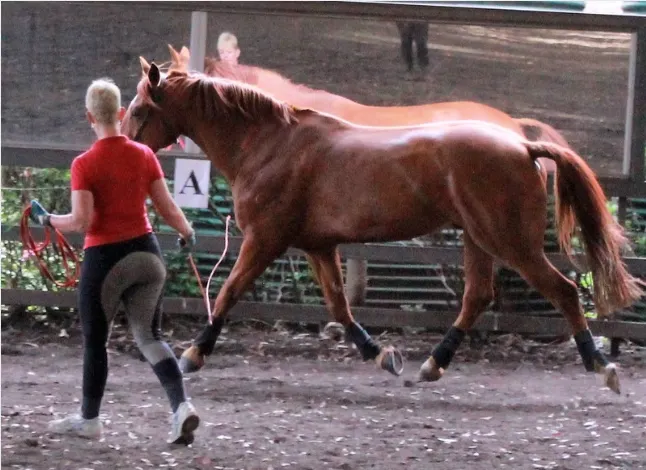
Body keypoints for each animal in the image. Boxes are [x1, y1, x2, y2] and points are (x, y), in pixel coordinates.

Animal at [124, 51, 644, 394]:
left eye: (139, 109)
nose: (122, 146)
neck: (271, 144)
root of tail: (522, 144)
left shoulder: (264, 239)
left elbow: (228, 292)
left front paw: (193, 354)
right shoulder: (318, 246)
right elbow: (339, 308)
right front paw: (382, 356)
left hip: (511, 241)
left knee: (564, 291)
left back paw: (601, 365)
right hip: (479, 239)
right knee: (478, 296)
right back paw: (432, 364)